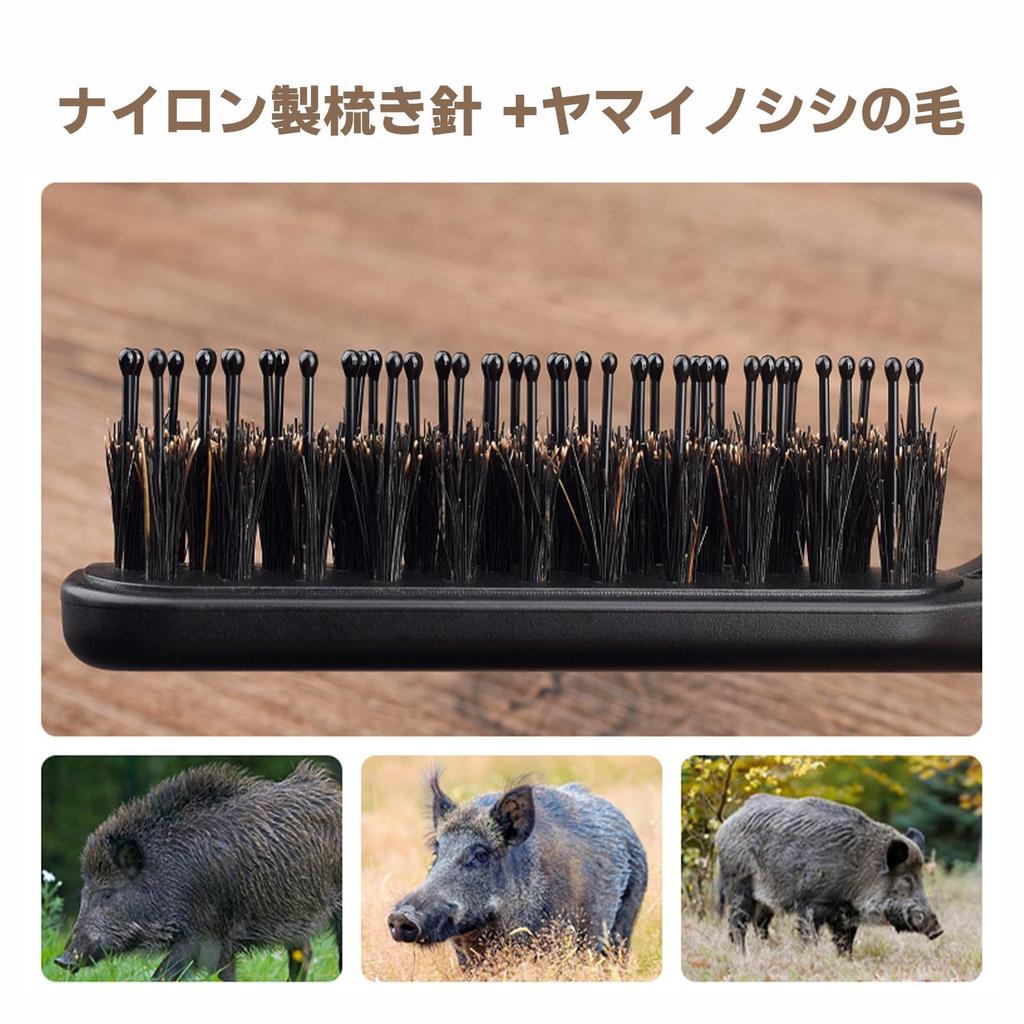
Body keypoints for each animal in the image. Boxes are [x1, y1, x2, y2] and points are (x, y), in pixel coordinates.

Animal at [55, 761, 342, 981]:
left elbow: (163, 975)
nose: (62, 960)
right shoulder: (220, 942)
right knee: (303, 955)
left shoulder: (207, 935)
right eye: (83, 894)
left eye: (108, 893)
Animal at [714, 793, 942, 956]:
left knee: (759, 923)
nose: (938, 930)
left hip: (765, 898)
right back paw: (742, 955)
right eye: (906, 879)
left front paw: (846, 961)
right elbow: (810, 936)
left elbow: (845, 943)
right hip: (738, 883)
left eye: (921, 878)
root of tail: (723, 827)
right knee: (737, 923)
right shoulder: (810, 903)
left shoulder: (846, 916)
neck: (861, 870)